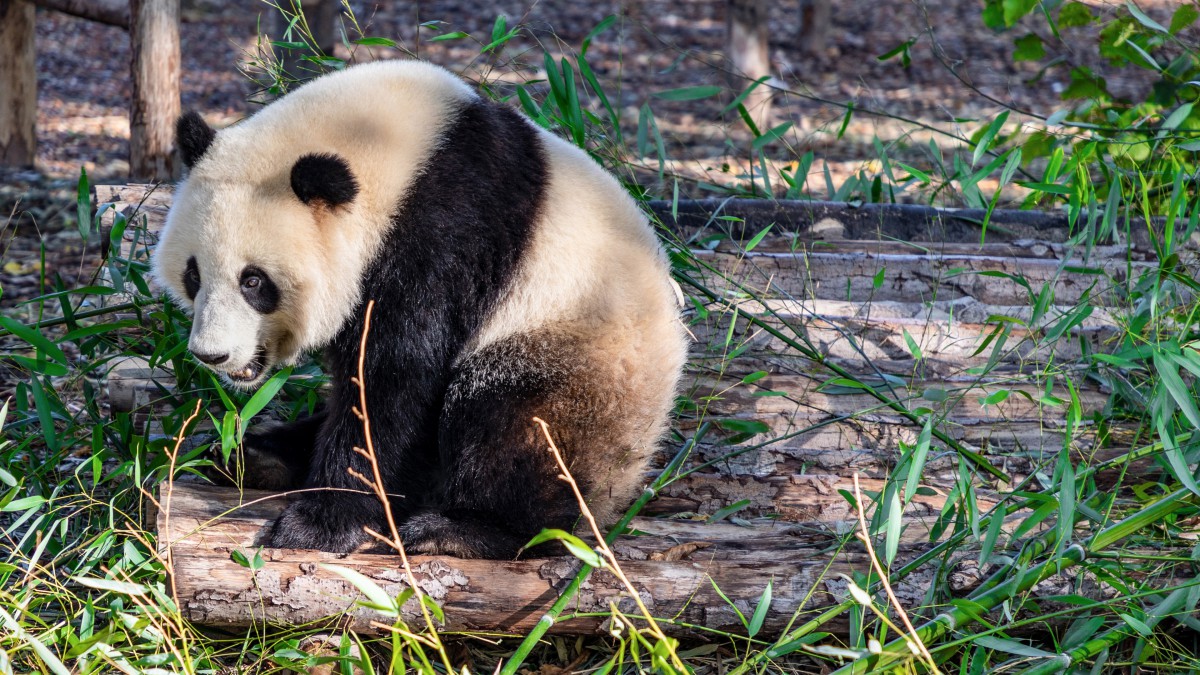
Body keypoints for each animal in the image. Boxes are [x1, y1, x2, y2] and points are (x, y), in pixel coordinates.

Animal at [152, 60, 686, 557]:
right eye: (193, 275)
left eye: (254, 281)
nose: (211, 355)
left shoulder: (443, 234)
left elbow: (396, 378)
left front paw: (318, 524)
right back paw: (256, 456)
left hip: (576, 354)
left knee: (513, 425)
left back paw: (463, 530)